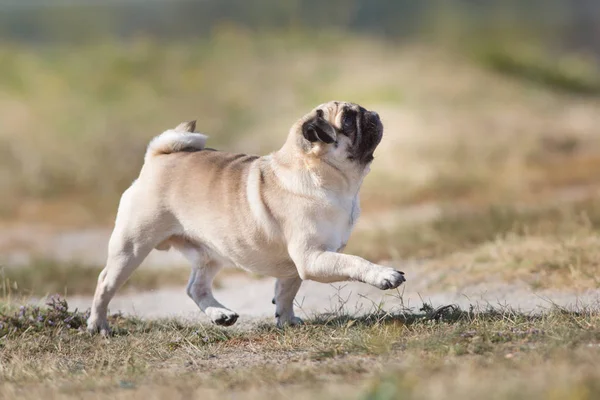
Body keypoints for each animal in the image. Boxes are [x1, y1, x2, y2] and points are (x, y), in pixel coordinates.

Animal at [88, 101, 408, 334]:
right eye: (349, 120)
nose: (373, 113)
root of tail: (158, 157)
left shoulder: (298, 265)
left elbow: (287, 291)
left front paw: (286, 320)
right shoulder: (312, 257)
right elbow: (353, 262)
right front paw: (384, 275)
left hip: (210, 252)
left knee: (196, 287)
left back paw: (220, 314)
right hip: (131, 245)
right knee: (105, 283)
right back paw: (98, 326)